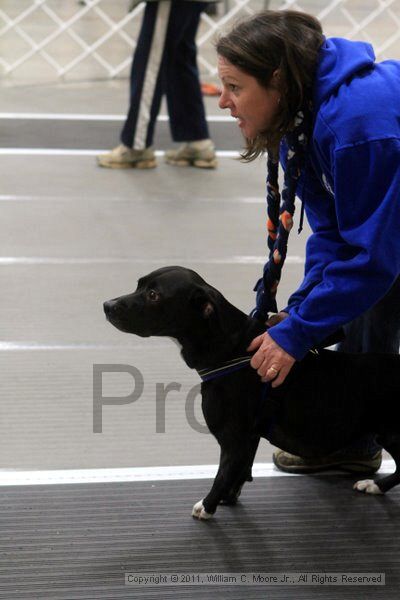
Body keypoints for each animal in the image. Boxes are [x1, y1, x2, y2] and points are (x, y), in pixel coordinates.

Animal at [104, 264, 400, 516]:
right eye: (139, 285)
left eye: (153, 295)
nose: (107, 305)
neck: (233, 351)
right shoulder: (249, 437)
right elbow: (238, 471)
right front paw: (227, 498)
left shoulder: (233, 437)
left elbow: (223, 473)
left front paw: (208, 506)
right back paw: (376, 486)